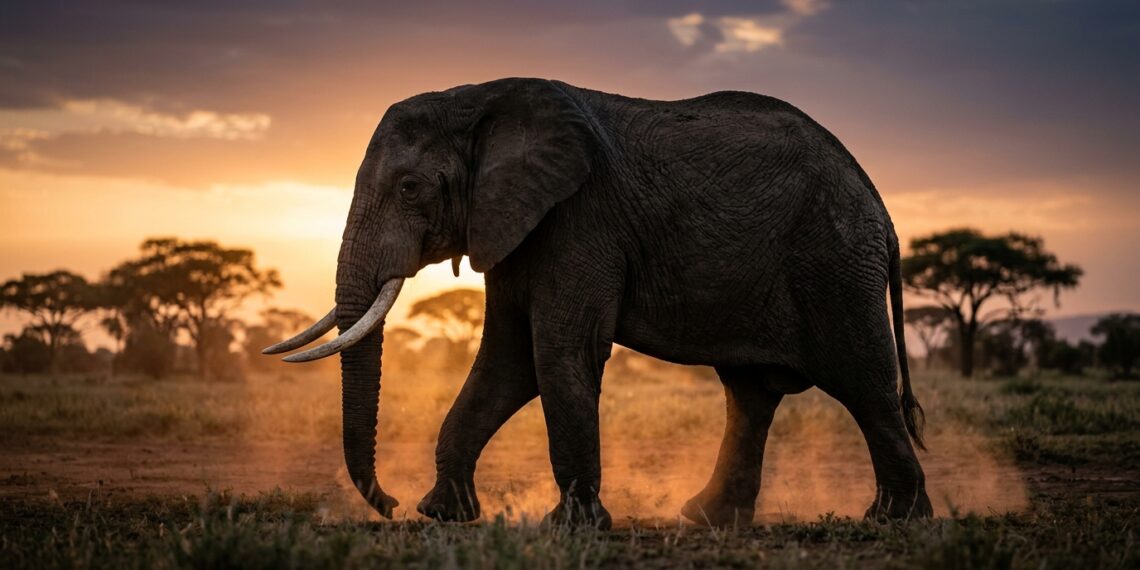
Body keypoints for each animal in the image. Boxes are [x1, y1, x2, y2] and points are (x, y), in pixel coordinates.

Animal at [265, 77, 933, 529]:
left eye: (409, 188)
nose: (390, 504)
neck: (480, 99)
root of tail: (882, 206)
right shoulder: (514, 222)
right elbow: (508, 362)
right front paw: (444, 515)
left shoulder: (582, 220)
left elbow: (558, 354)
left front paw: (571, 528)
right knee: (751, 393)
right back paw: (706, 519)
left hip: (835, 261)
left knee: (862, 382)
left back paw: (894, 519)